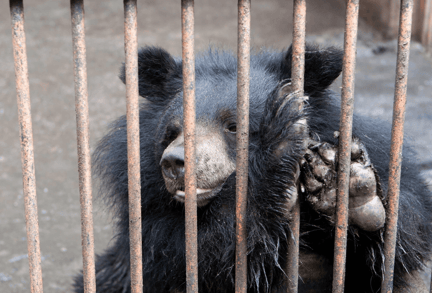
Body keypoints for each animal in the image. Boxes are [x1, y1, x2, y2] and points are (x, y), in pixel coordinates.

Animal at [73, 44, 432, 290]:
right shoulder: (148, 216)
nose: (174, 163)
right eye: (171, 132)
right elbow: (210, 257)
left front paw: (347, 188)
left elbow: (406, 241)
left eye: (234, 127)